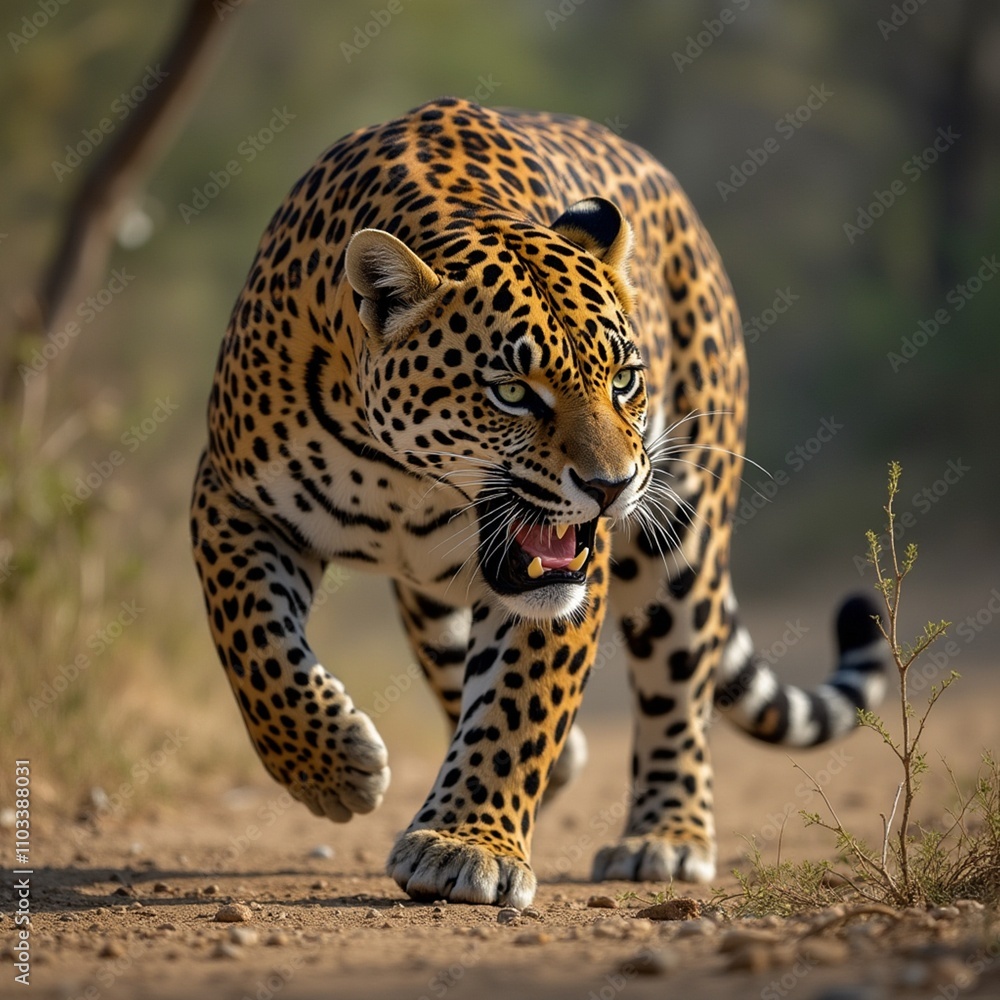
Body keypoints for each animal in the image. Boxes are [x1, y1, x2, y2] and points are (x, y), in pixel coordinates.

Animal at [190, 97, 887, 908]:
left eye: (624, 378)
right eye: (513, 392)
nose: (611, 486)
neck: (405, 477)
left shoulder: (569, 572)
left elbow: (519, 701)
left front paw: (466, 844)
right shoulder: (232, 496)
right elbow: (253, 643)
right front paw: (333, 771)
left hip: (681, 537)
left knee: (679, 683)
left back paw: (666, 837)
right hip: (431, 593)